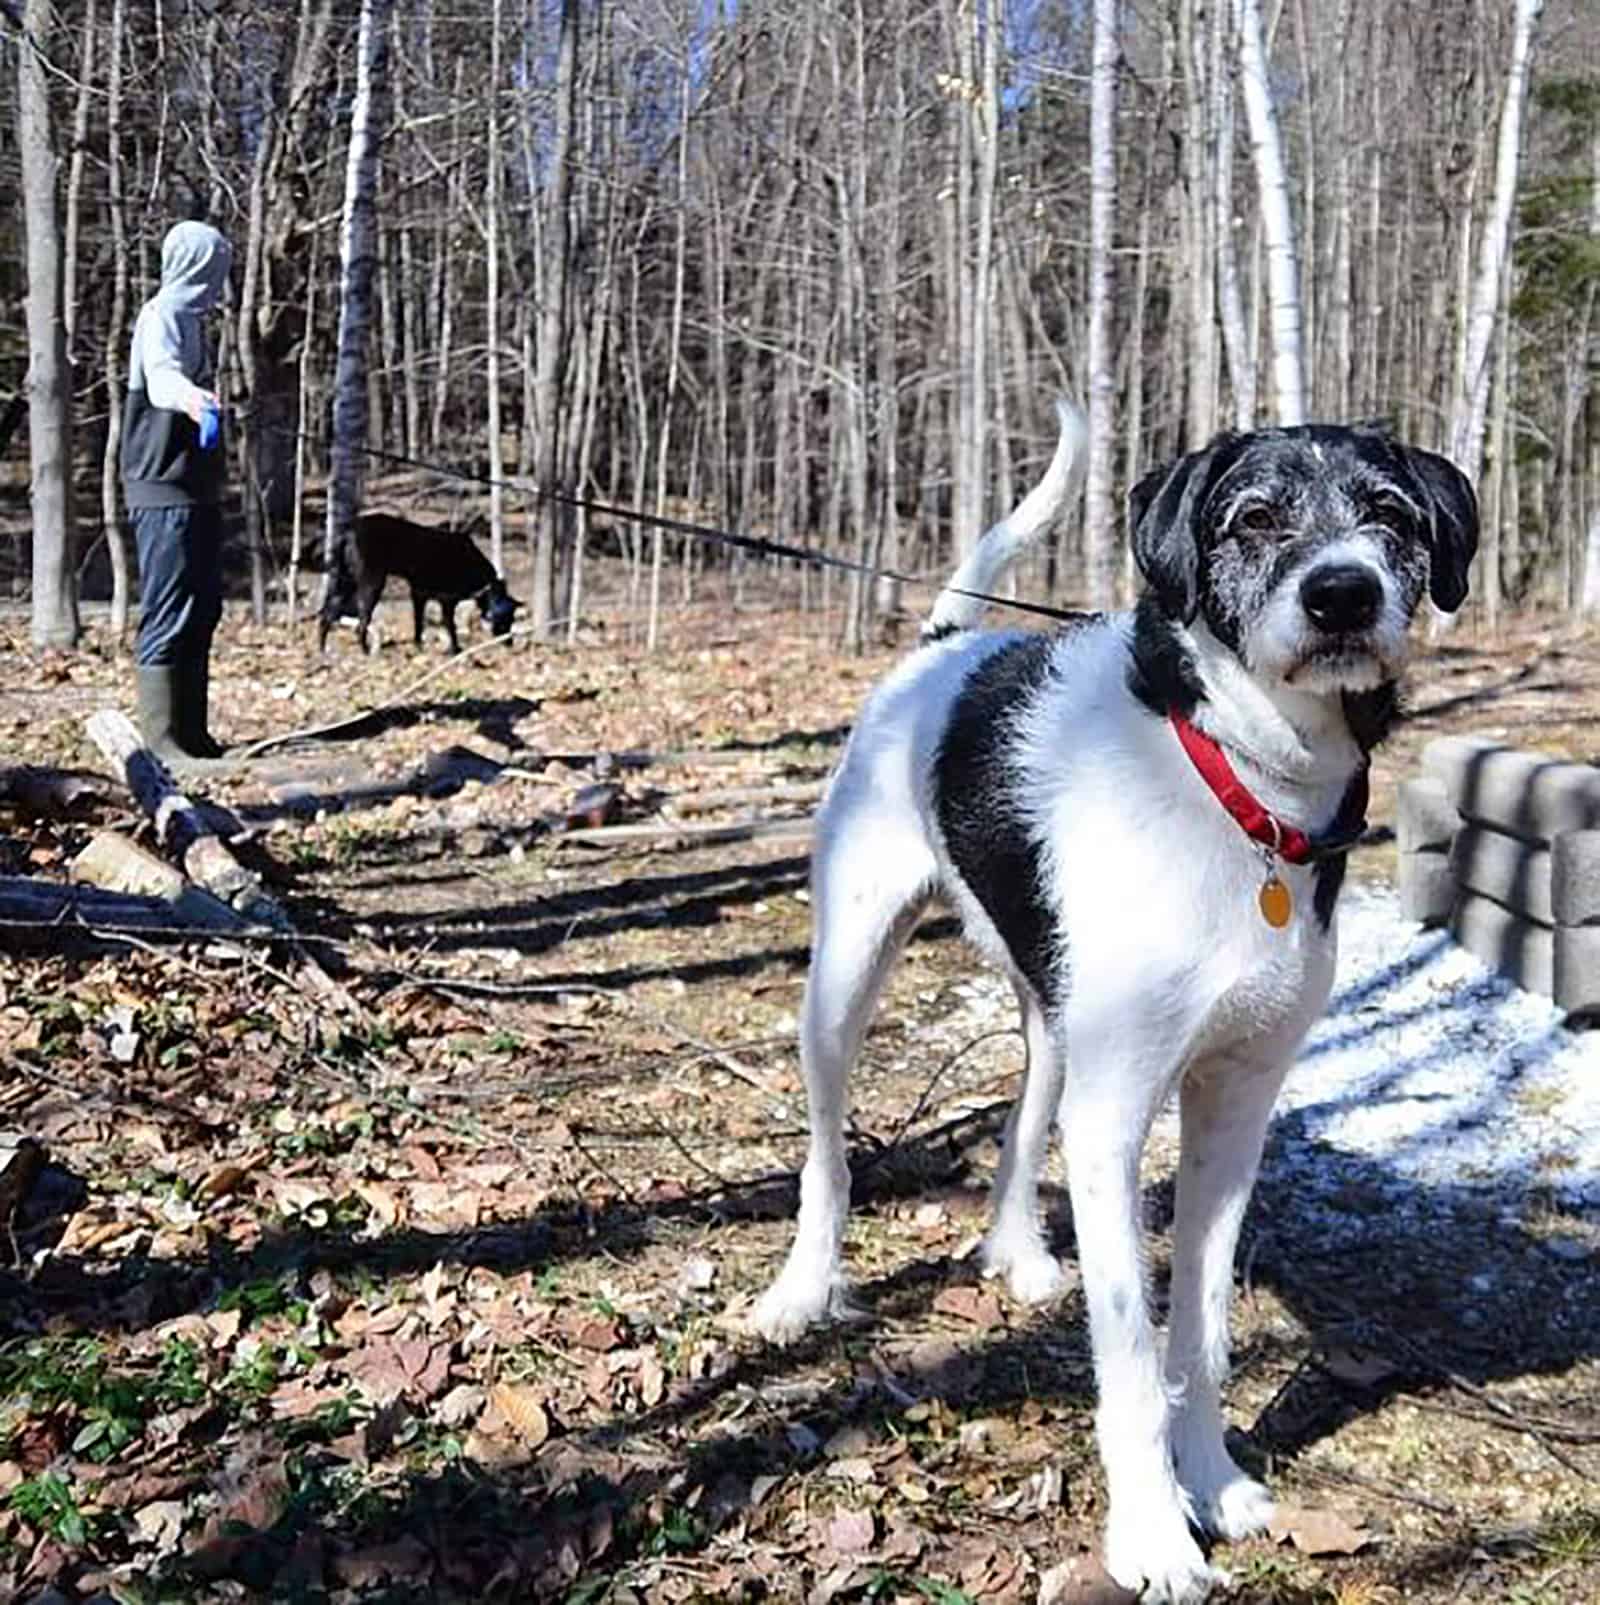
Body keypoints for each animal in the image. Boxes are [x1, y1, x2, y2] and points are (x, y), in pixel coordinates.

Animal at [747, 404, 1476, 1605]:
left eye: (1387, 512)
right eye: (1253, 517)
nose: (1342, 594)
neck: (1238, 787)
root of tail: (942, 646)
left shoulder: (1233, 1107)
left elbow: (1204, 1329)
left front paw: (1212, 1481)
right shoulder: (1120, 1114)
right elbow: (1133, 1353)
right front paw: (1151, 1535)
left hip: (1056, 1019)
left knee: (1021, 1117)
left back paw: (1019, 1253)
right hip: (845, 976)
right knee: (827, 1152)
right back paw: (805, 1290)